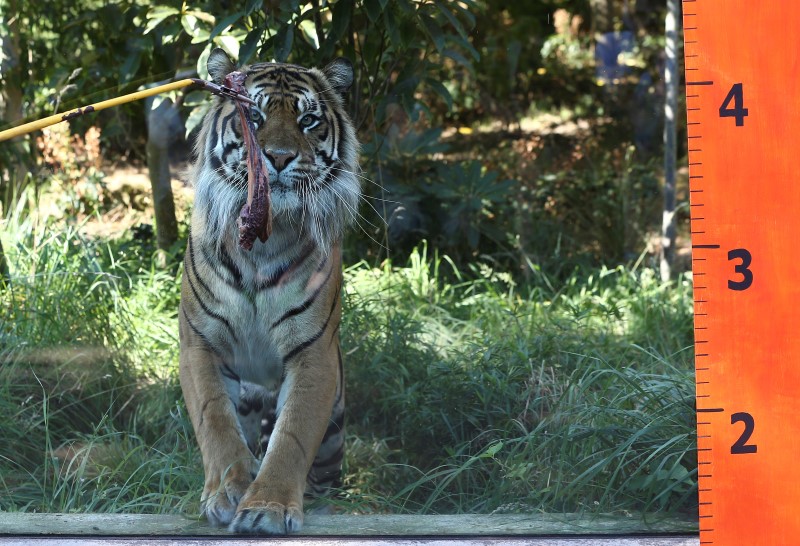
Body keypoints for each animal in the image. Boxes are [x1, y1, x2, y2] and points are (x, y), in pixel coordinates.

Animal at [178, 47, 360, 534]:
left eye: (308, 120)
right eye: (254, 116)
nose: (277, 158)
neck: (263, 238)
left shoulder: (314, 354)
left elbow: (292, 436)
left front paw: (267, 508)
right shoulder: (200, 344)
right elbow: (215, 421)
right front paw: (229, 491)